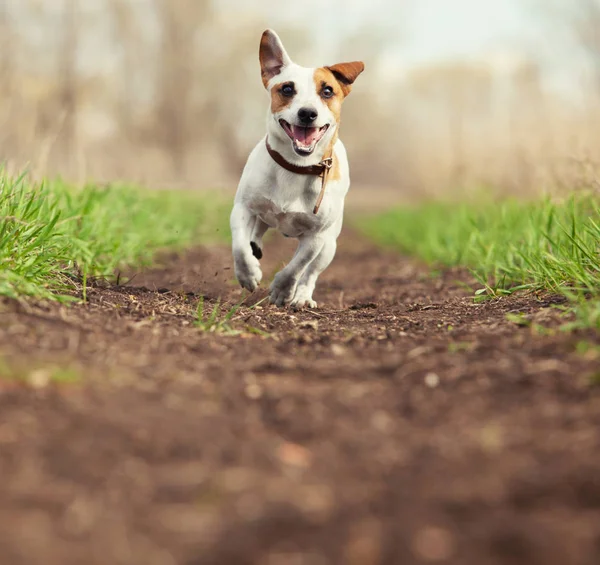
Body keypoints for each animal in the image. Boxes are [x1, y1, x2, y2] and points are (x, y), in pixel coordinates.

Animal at [230, 28, 364, 306]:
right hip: (263, 215)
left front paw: (283, 289)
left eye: (327, 91)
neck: (296, 166)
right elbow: (239, 245)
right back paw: (255, 247)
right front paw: (248, 273)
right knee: (255, 233)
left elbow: (298, 265)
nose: (307, 113)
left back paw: (302, 296)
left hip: (330, 245)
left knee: (311, 272)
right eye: (287, 88)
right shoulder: (243, 208)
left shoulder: (317, 236)